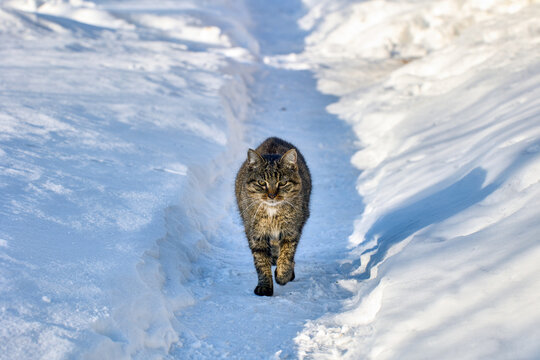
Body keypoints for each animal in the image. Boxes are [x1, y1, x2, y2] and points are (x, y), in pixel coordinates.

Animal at [233, 136, 312, 296]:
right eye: (261, 182)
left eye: (282, 183)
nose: (271, 195)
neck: (272, 213)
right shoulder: (256, 234)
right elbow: (261, 261)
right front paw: (264, 286)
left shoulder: (291, 231)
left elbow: (286, 255)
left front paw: (282, 275)